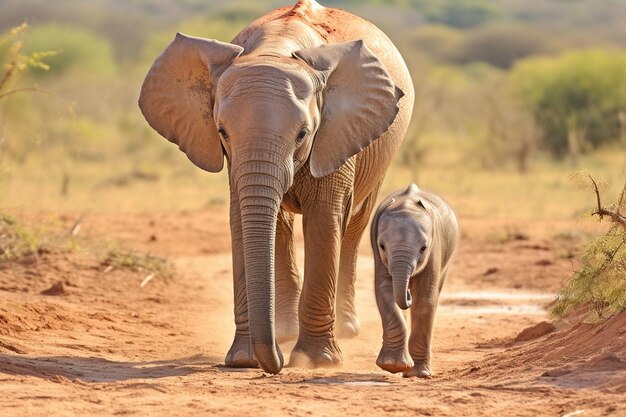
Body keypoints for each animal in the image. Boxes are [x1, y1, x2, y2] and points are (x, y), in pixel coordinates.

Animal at [140, 0, 414, 372]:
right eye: (222, 132)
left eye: (303, 134)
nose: (277, 362)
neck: (277, 49)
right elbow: (242, 218)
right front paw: (243, 360)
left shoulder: (338, 131)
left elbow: (324, 219)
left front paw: (315, 361)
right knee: (282, 223)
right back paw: (285, 331)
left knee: (354, 226)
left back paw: (344, 329)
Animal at [368, 183, 456, 376]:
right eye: (382, 246)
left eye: (423, 248)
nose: (408, 296)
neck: (405, 205)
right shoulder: (378, 255)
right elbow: (384, 291)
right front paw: (393, 366)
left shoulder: (435, 249)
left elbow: (425, 299)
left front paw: (419, 374)